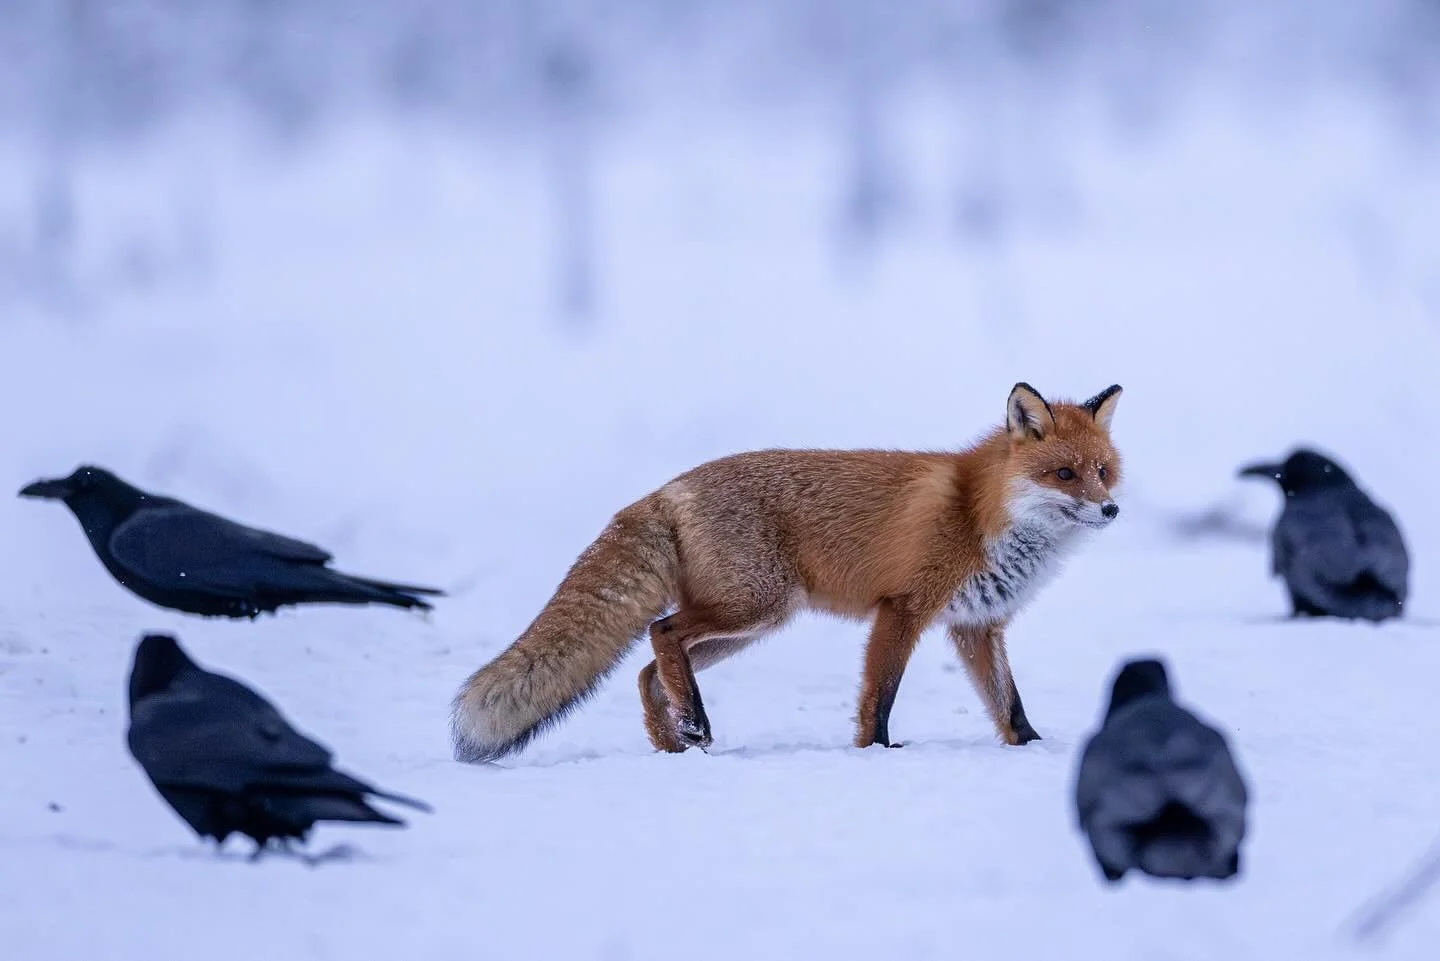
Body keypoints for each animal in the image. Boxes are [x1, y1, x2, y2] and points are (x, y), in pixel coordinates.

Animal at [451, 381, 1124, 763]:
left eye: (1103, 473)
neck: (979, 514)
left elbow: (1009, 707)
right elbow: (879, 697)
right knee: (660, 633)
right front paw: (876, 754)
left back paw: (673, 745)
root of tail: (667, 490)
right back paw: (691, 724)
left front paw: (1035, 751)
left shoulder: (977, 626)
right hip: (754, 608)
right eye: (1064, 475)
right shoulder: (902, 609)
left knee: (647, 671)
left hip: (749, 626)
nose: (1111, 510)